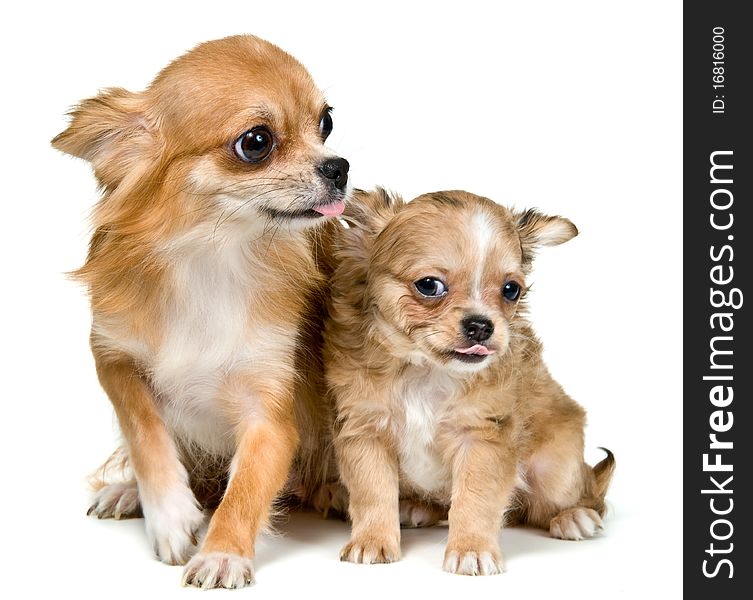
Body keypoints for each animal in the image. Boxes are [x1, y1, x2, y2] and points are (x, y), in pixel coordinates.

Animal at [52, 35, 346, 588]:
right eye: (256, 142)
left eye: (326, 123)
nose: (339, 166)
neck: (211, 258)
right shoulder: (113, 356)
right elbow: (143, 427)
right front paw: (168, 512)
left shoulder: (269, 417)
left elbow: (244, 490)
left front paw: (222, 553)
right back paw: (128, 491)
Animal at [326, 190, 612, 576]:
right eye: (429, 286)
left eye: (511, 290)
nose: (481, 325)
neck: (426, 371)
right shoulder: (366, 431)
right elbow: (373, 493)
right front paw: (372, 540)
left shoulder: (482, 438)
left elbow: (475, 499)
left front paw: (472, 549)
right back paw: (415, 508)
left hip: (556, 471)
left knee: (576, 500)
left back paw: (573, 517)